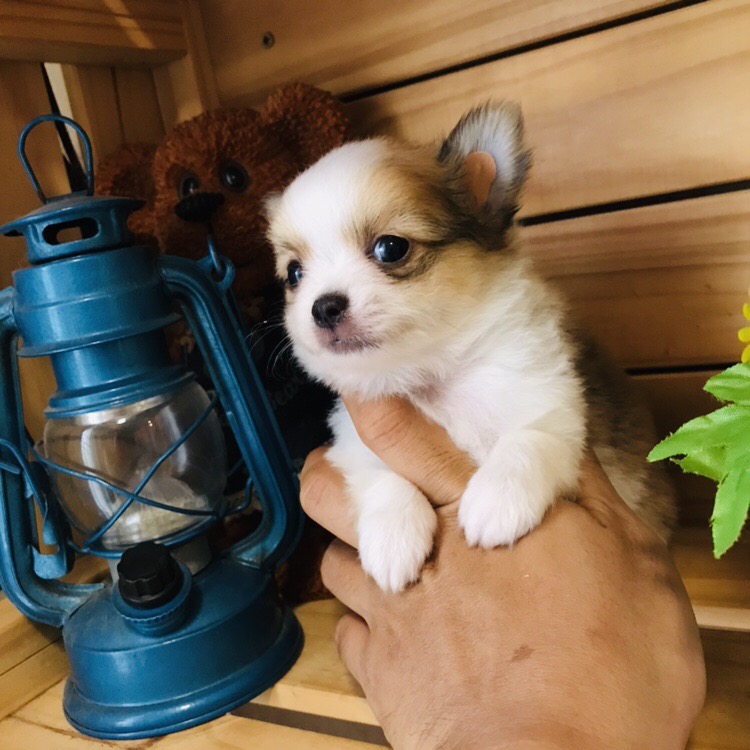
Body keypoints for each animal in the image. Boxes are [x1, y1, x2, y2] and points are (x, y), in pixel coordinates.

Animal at [266, 102, 676, 593]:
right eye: (294, 274)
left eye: (390, 248)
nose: (323, 307)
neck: (431, 377)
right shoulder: (353, 449)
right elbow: (382, 480)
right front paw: (392, 536)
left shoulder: (552, 403)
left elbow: (529, 439)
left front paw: (497, 499)